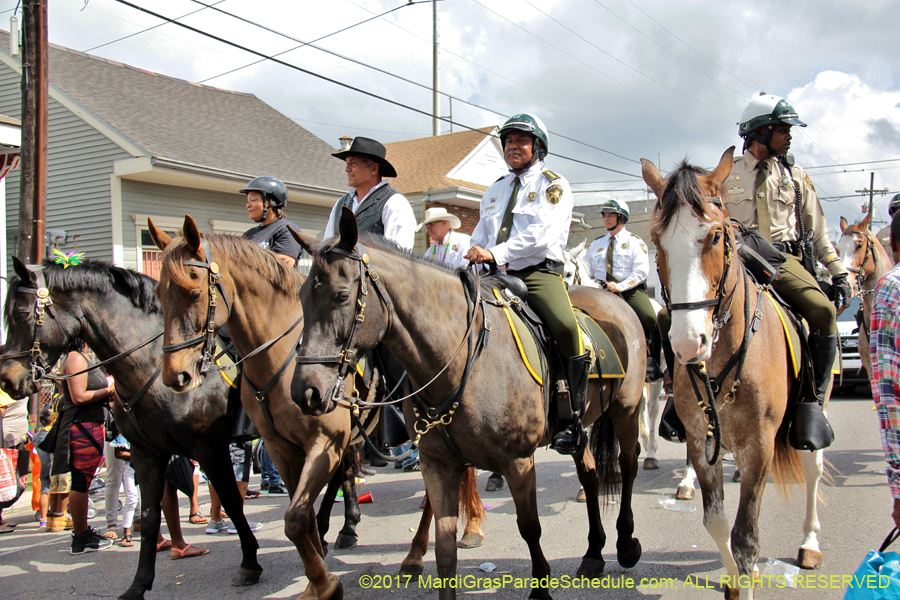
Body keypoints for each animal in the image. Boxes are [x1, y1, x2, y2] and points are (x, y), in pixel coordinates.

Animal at [148, 218, 486, 600]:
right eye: (158, 295)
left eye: (193, 293)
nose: (175, 375)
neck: (278, 356)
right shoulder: (281, 448)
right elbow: (302, 516)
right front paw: (314, 575)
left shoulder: (325, 440)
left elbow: (295, 518)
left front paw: (324, 584)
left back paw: (423, 550)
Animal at [292, 209, 644, 596]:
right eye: (301, 296)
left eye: (341, 296)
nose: (305, 391)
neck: (461, 357)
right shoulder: (438, 464)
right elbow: (445, 550)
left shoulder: (518, 462)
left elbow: (530, 528)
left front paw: (540, 588)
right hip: (580, 427)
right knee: (590, 475)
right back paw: (594, 553)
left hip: (627, 411)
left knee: (628, 465)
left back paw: (626, 543)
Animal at [644, 148, 828, 596]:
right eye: (657, 240)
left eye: (715, 236)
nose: (687, 342)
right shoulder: (701, 440)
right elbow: (717, 523)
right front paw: (733, 579)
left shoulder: (760, 444)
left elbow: (746, 537)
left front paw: (745, 577)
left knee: (813, 469)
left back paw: (809, 543)